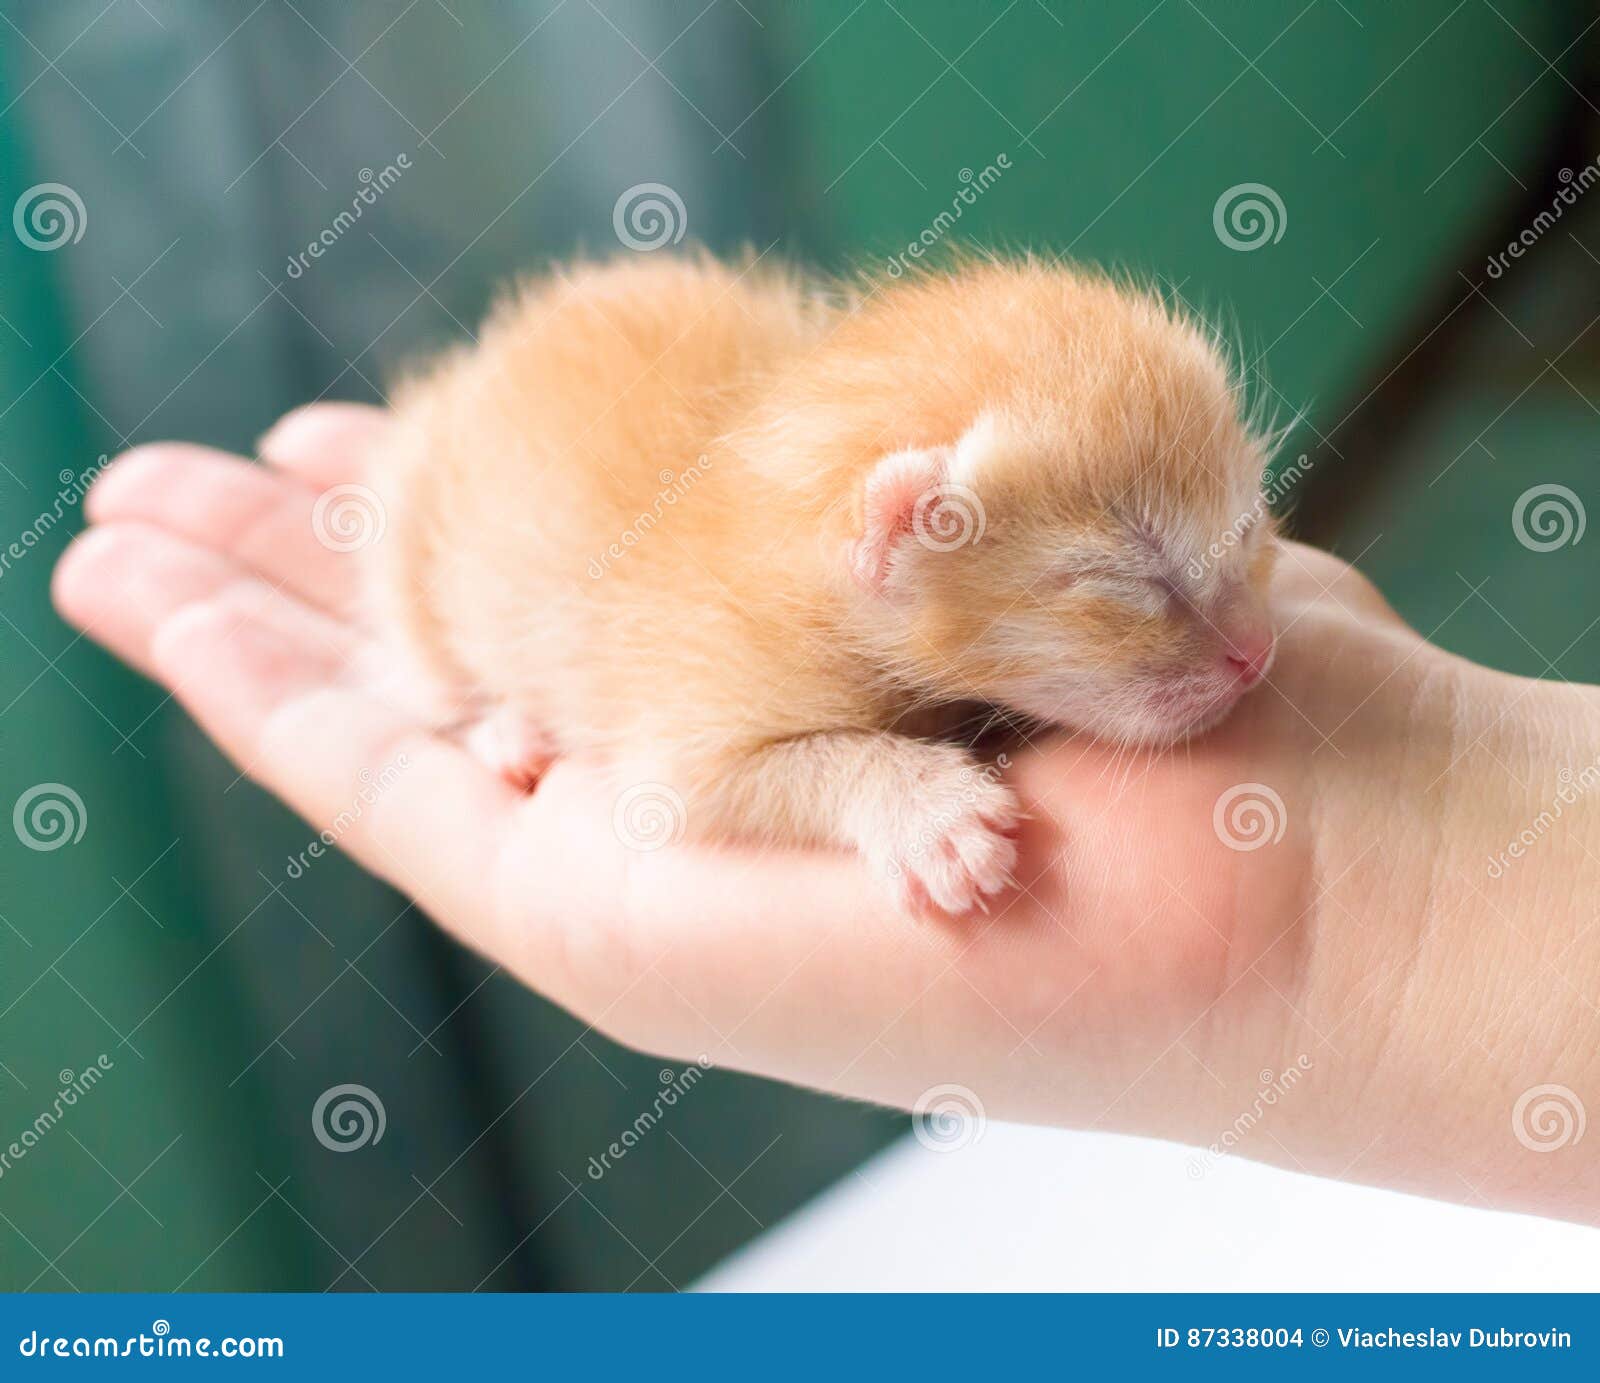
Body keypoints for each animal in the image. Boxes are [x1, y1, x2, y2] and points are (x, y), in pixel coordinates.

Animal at [368, 254, 1280, 915]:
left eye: (1247, 528)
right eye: (1126, 579)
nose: (1258, 652)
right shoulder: (681, 731)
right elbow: (765, 770)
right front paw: (928, 815)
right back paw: (504, 728)